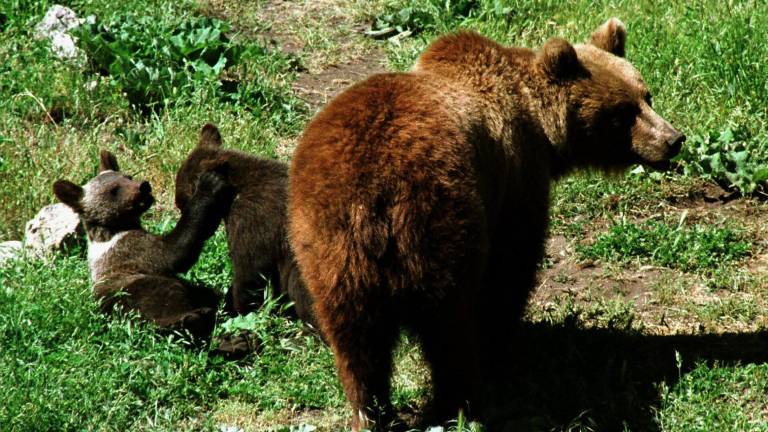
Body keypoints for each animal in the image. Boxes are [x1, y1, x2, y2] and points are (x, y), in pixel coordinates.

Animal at [53, 150, 233, 341]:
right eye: (113, 190)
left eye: (128, 176)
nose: (143, 185)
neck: (112, 230)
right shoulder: (133, 249)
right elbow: (174, 252)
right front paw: (210, 185)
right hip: (131, 292)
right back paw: (194, 318)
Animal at [288, 18, 685, 430]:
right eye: (622, 112)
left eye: (646, 96)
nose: (674, 139)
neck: (537, 122)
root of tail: (374, 198)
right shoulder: (515, 181)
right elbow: (511, 266)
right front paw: (504, 339)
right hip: (438, 223)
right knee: (449, 325)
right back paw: (463, 401)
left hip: (328, 248)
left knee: (357, 342)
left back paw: (373, 412)